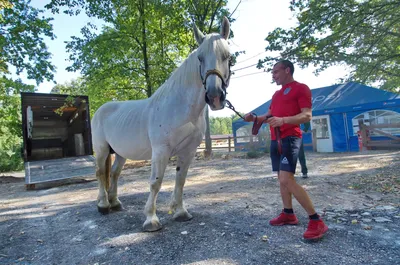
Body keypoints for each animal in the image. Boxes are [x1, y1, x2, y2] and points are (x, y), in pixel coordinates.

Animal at [91, 17, 231, 230]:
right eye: (200, 58)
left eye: (228, 56)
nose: (215, 97)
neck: (179, 107)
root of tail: (101, 110)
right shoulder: (161, 151)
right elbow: (155, 182)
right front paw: (151, 219)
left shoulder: (188, 150)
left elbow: (181, 180)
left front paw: (180, 212)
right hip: (101, 150)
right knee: (100, 173)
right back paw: (103, 205)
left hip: (121, 153)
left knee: (114, 173)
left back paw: (115, 202)